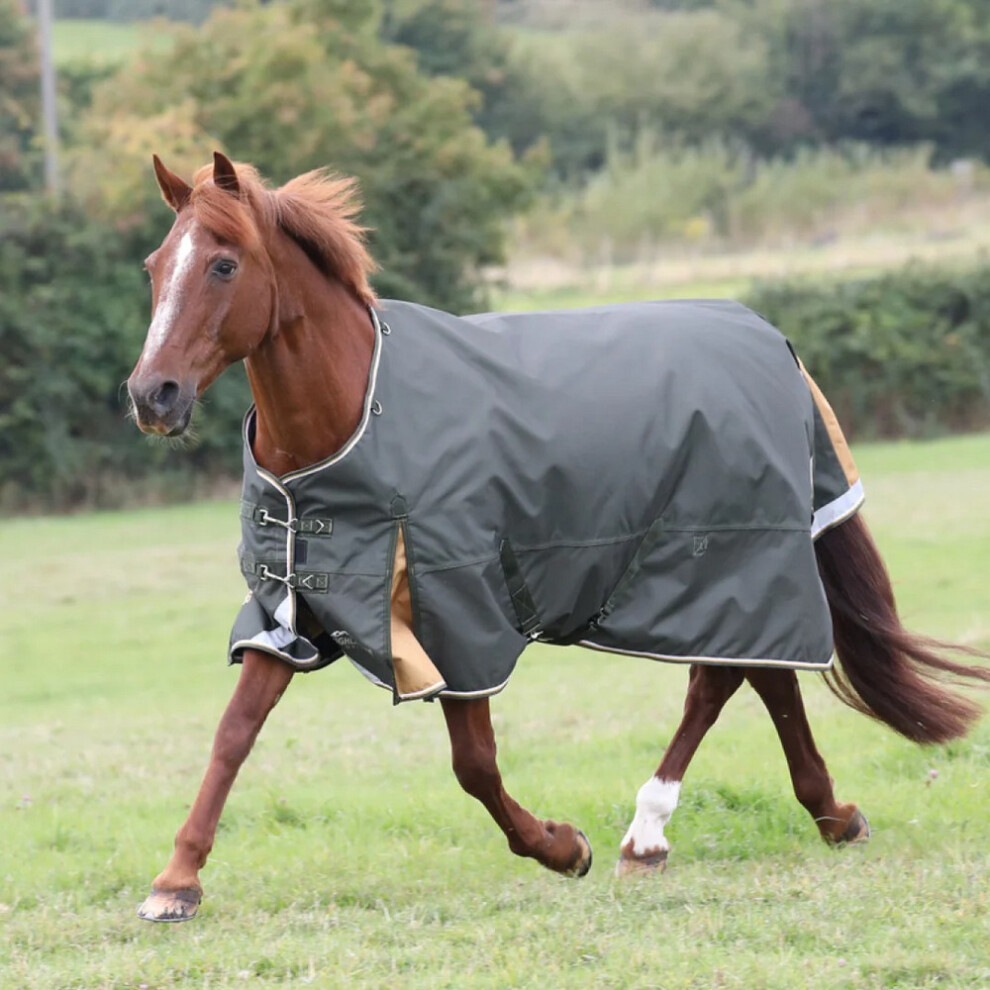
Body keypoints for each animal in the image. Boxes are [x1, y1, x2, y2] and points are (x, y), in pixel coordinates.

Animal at [128, 153, 988, 924]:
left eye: (224, 265)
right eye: (155, 266)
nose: (152, 395)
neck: (351, 421)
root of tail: (770, 339)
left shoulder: (458, 609)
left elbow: (473, 765)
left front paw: (562, 846)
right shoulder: (293, 610)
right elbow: (233, 734)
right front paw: (176, 882)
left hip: (724, 555)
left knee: (722, 680)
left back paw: (654, 833)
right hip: (731, 568)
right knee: (760, 672)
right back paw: (818, 817)